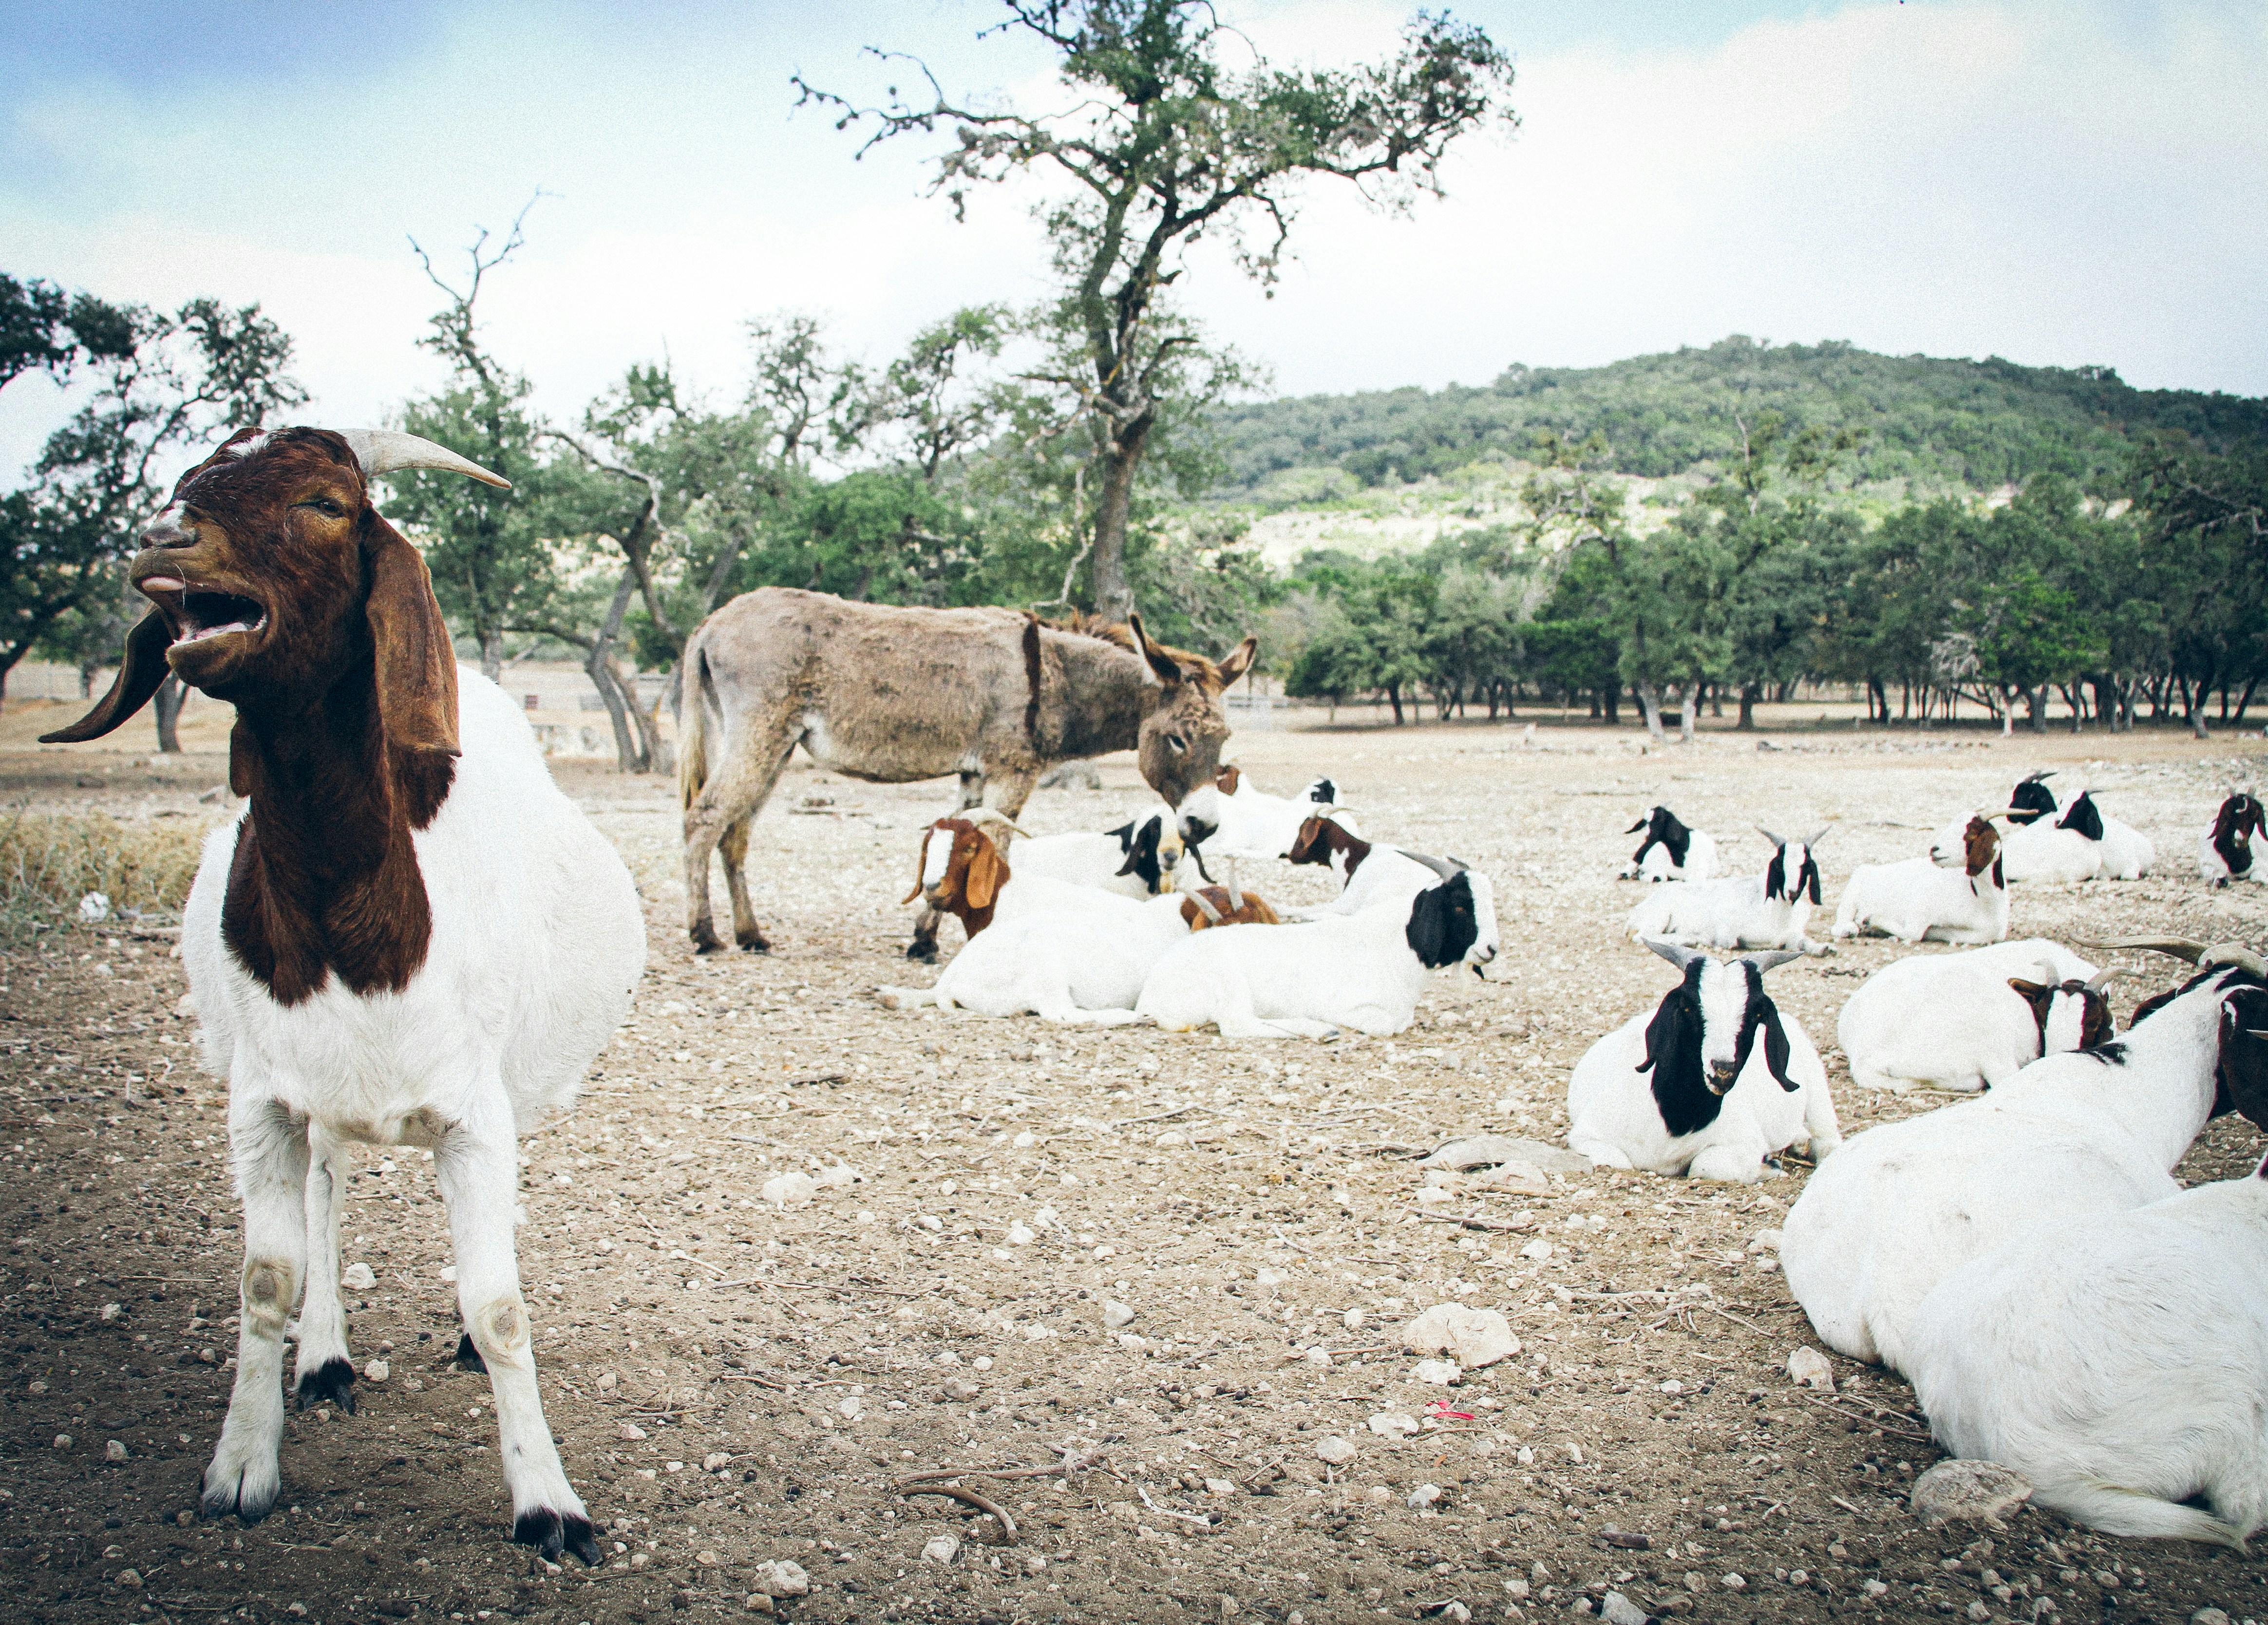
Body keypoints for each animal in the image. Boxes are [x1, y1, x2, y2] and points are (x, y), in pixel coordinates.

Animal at [39, 427, 643, 1563]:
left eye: (326, 503)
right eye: (186, 480)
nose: (164, 539)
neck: (353, 923)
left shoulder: (475, 1113)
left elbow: (501, 1305)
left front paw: (549, 1503)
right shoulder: (262, 1101)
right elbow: (266, 1279)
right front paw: (242, 1462)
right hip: (310, 1097)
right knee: (326, 1188)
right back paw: (322, 1360)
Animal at [1135, 857, 1498, 1039]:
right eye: (1461, 906)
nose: (1492, 948)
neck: (1395, 941)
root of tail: (1150, 996)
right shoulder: (1355, 1008)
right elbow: (1389, 1026)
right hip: (1229, 985)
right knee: (1237, 1026)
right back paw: (1320, 1029)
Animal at [1565, 939, 1841, 1183]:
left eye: (1756, 1014)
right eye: (1688, 1007)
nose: (1723, 1070)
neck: (1676, 1122)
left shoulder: (1745, 1142)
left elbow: (1704, 1166)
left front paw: (1769, 1165)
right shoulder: (1587, 1136)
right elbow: (1615, 1161)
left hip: (1819, 1097)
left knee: (1827, 1140)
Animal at [1625, 828, 1828, 955]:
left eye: (1806, 866)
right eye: (1780, 865)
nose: (1793, 892)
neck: (1778, 912)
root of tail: (1636, 911)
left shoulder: (1794, 935)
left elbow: (1806, 944)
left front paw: (1823, 948)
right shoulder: (1728, 934)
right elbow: (1733, 942)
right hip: (1659, 918)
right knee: (1642, 936)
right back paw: (1684, 939)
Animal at [1831, 813, 2013, 943]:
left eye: (1971, 833)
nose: (1935, 849)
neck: (1983, 902)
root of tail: (1869, 869)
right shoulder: (1919, 910)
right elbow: (1914, 933)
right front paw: (1869, 920)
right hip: (1852, 896)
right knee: (1839, 925)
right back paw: (1850, 929)